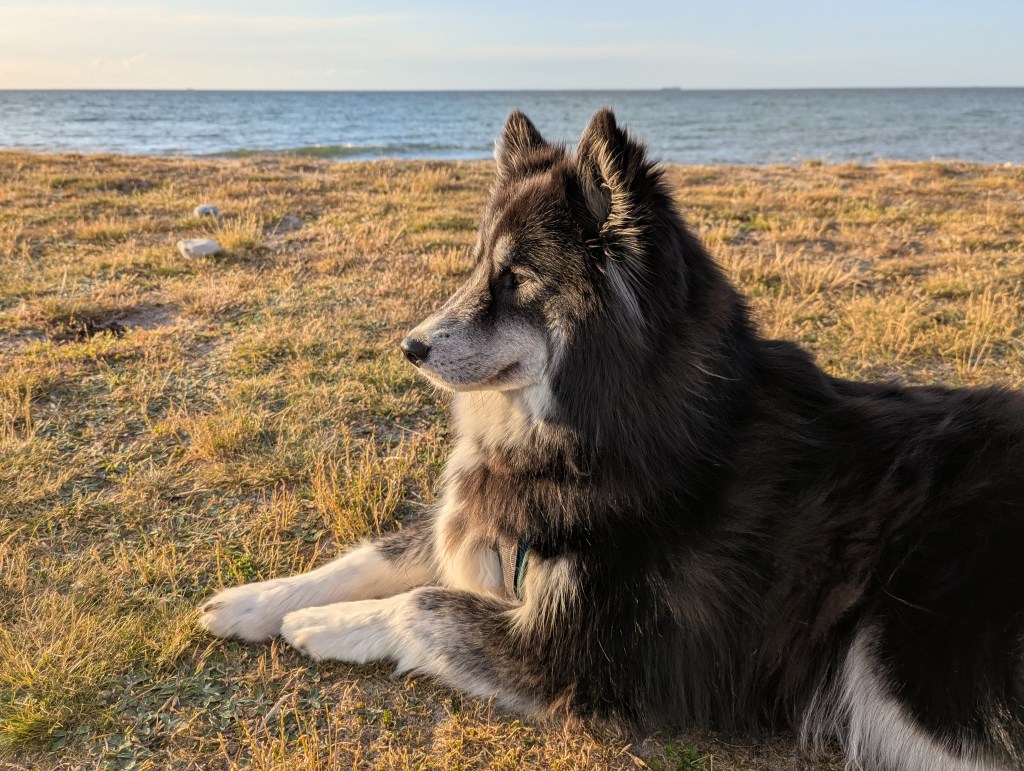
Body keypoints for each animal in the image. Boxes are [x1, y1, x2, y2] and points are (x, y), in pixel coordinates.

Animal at [200, 109, 1024, 770]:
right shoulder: (484, 524)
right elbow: (378, 552)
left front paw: (318, 624)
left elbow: (425, 604)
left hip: (900, 657)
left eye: (516, 279)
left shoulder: (582, 655)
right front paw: (254, 601)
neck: (604, 428)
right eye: (477, 265)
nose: (410, 346)